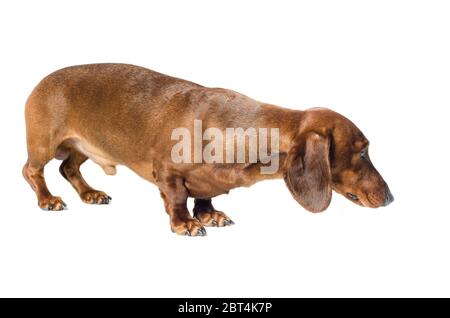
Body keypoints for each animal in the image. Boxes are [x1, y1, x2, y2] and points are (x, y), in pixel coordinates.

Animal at [22, 63, 392, 236]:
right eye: (362, 152)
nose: (390, 199)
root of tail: (41, 81)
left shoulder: (208, 182)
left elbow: (204, 196)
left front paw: (209, 214)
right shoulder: (167, 172)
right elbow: (176, 198)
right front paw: (185, 223)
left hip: (81, 146)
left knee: (68, 168)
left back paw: (91, 194)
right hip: (45, 143)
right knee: (32, 170)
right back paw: (48, 200)